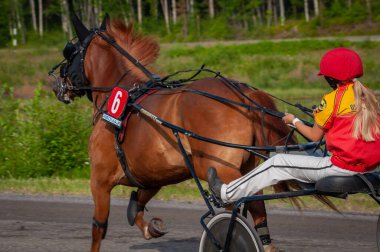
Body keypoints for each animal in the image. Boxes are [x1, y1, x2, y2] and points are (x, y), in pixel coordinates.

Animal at [53, 15, 308, 252]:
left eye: (69, 52)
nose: (57, 85)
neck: (123, 97)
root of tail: (243, 94)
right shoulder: (152, 175)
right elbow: (137, 205)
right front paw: (151, 227)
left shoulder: (99, 179)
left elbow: (98, 228)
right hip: (246, 166)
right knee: (257, 209)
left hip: (217, 168)